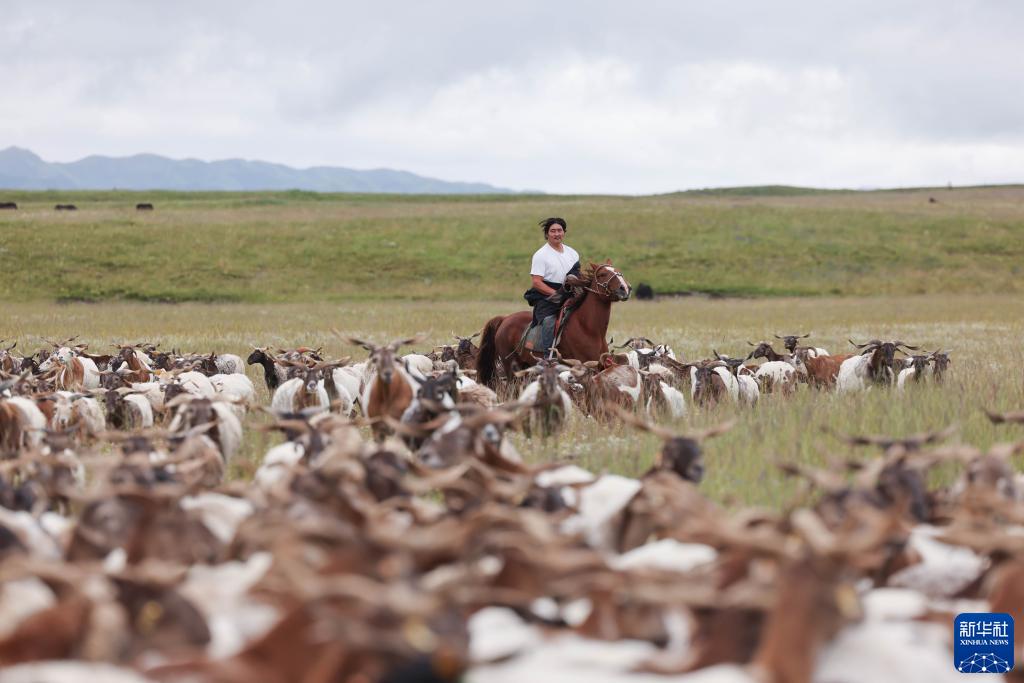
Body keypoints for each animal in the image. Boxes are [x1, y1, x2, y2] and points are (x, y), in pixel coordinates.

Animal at [475, 262, 626, 387]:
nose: (625, 288)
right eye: (602, 274)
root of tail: (504, 319)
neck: (588, 328)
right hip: (511, 368)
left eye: (618, 271)